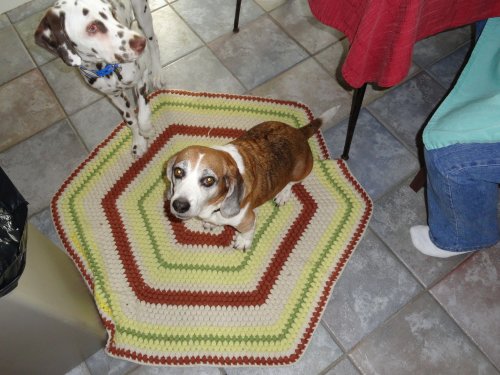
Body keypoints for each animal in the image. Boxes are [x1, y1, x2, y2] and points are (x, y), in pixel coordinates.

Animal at [164, 106, 340, 253]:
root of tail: (299, 132)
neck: (214, 206)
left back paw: (283, 194)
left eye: (208, 180)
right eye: (178, 171)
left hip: (302, 170)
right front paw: (211, 223)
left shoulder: (248, 220)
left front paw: (243, 241)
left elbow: (247, 232)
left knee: (291, 182)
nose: (179, 205)